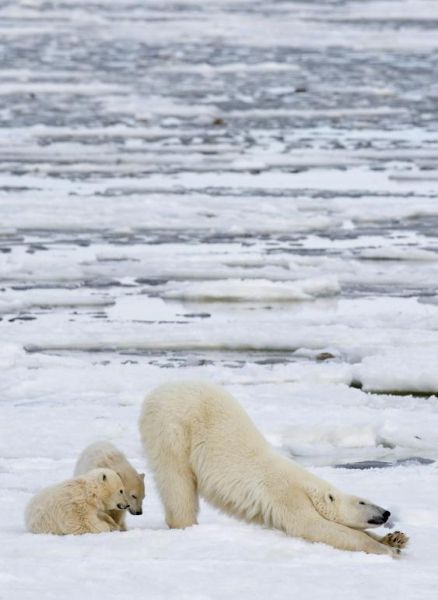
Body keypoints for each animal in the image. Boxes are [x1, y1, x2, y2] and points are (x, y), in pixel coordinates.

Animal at [139, 382, 408, 556]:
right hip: (173, 428)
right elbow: (313, 526)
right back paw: (185, 524)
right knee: (177, 481)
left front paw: (396, 539)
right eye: (363, 502)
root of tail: (157, 392)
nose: (386, 513)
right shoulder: (286, 494)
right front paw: (387, 550)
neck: (306, 485)